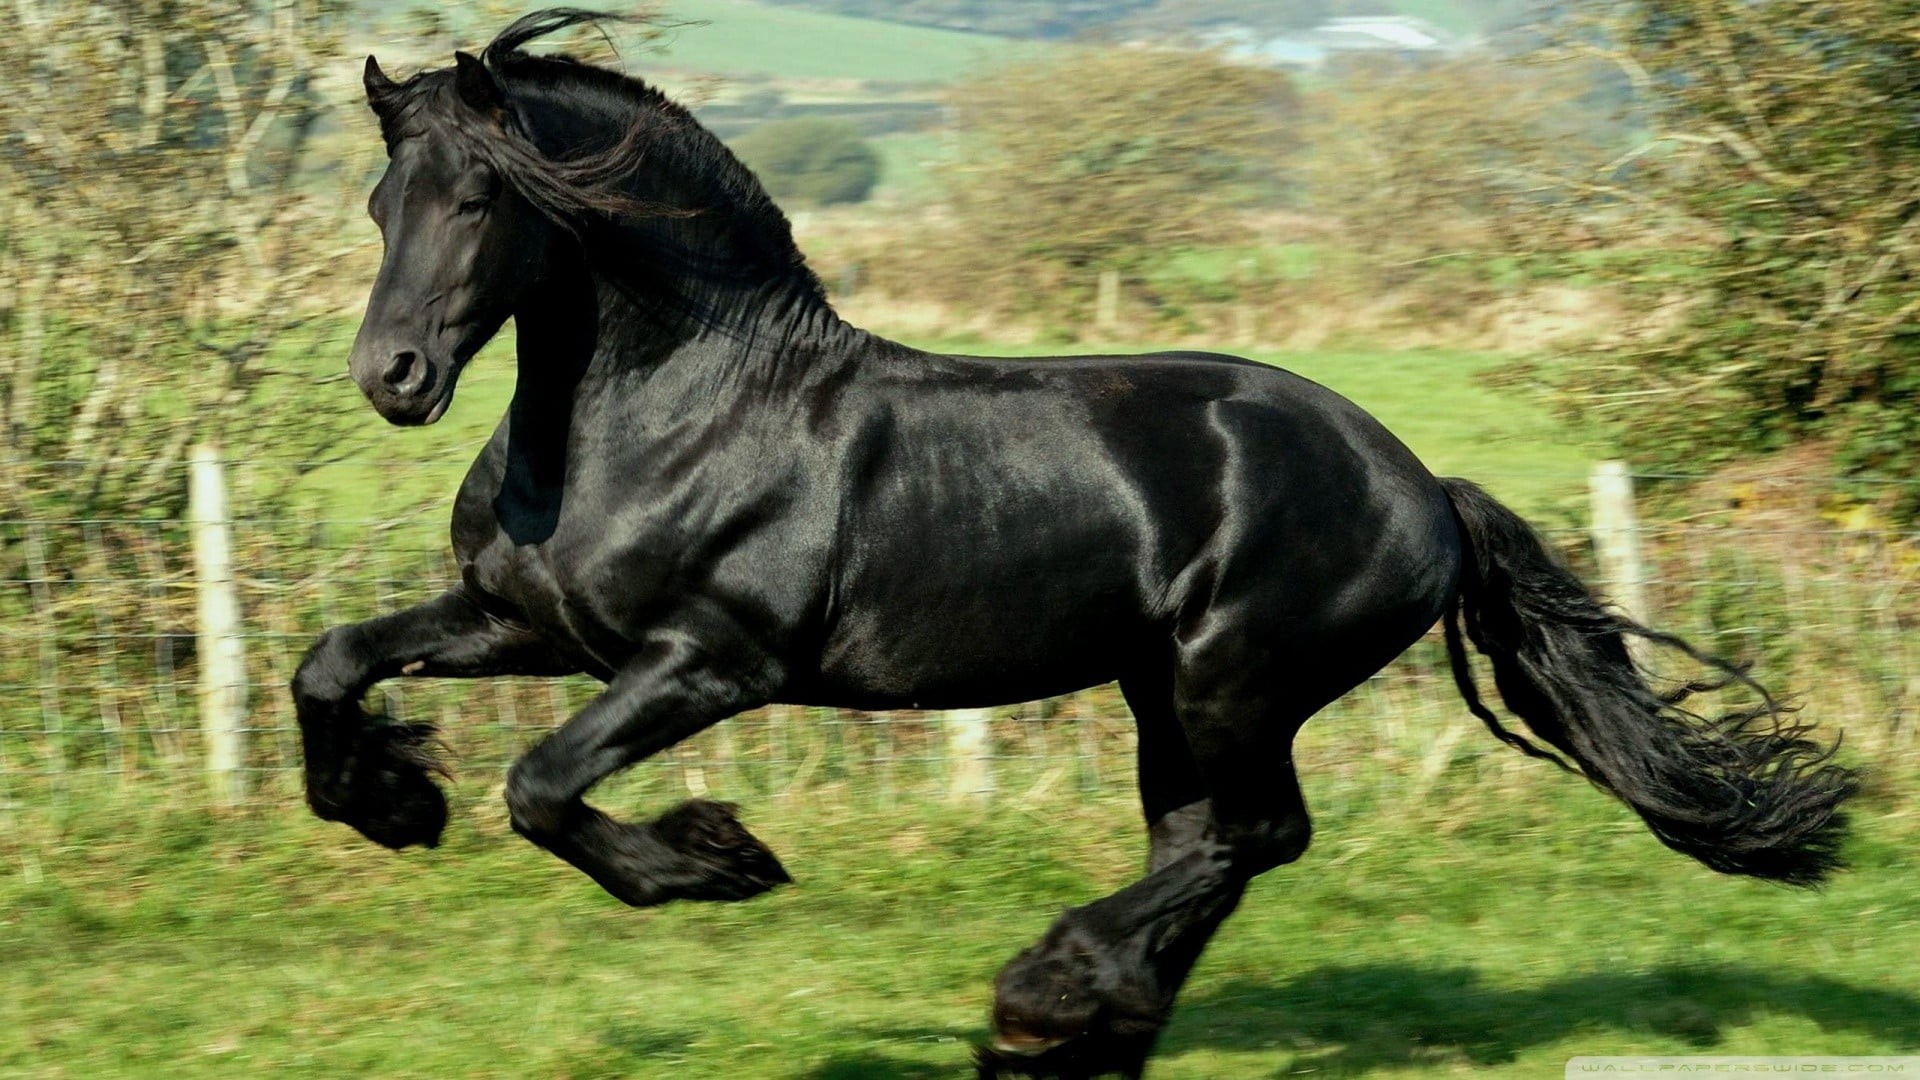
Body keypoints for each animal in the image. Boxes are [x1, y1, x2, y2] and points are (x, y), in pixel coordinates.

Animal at [291, 11, 1859, 1078]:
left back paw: (1044, 998)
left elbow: (544, 788)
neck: (674, 408)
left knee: (1254, 835)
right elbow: (332, 664)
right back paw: (1085, 1034)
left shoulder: (710, 664)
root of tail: (1421, 482)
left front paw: (718, 862)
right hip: (1162, 690)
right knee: (1209, 845)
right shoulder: (530, 625)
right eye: (378, 202)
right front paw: (388, 802)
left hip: (1236, 677)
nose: (394, 379)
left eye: (480, 200)